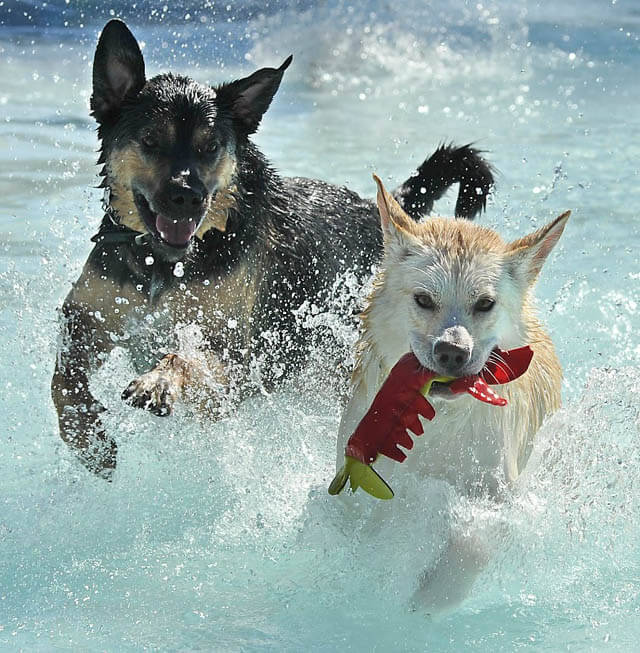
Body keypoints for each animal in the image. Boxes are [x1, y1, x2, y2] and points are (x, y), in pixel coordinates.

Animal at [51, 19, 496, 478]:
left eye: (210, 147)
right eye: (151, 140)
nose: (187, 197)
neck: (166, 263)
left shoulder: (237, 355)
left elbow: (187, 355)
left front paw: (159, 380)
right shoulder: (84, 315)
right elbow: (62, 379)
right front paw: (87, 437)